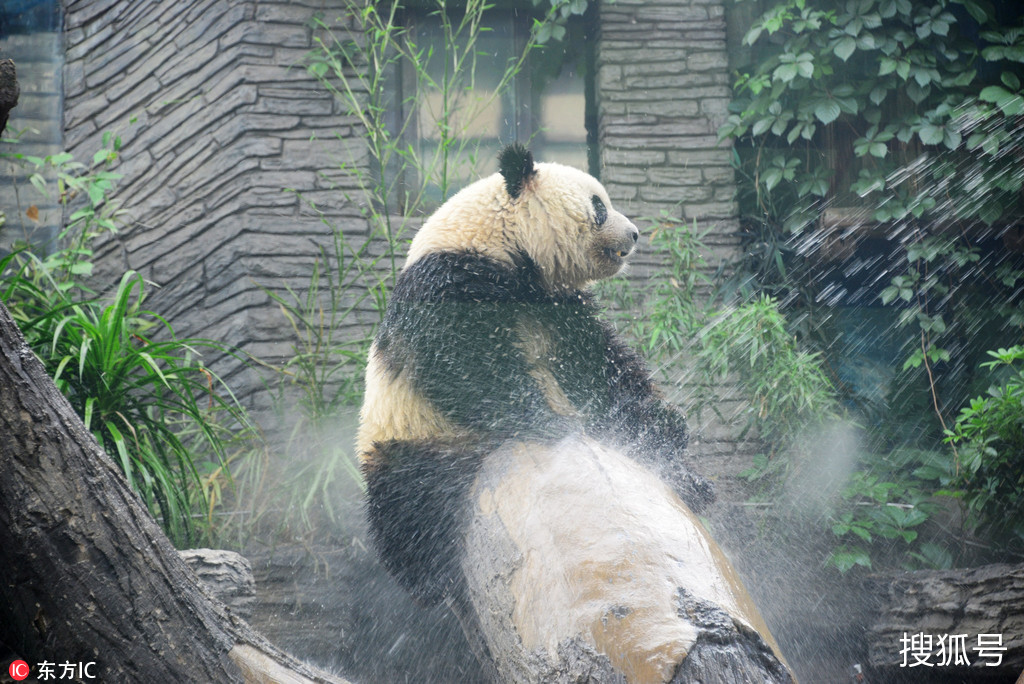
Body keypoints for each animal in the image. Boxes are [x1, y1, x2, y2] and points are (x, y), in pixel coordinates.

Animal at [358, 144, 712, 602]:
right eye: (599, 207)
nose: (634, 234)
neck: (502, 246)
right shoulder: (448, 280)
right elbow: (465, 361)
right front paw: (547, 419)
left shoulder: (556, 303)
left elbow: (596, 362)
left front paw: (664, 422)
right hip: (409, 439)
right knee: (409, 507)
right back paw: (428, 579)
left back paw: (693, 483)